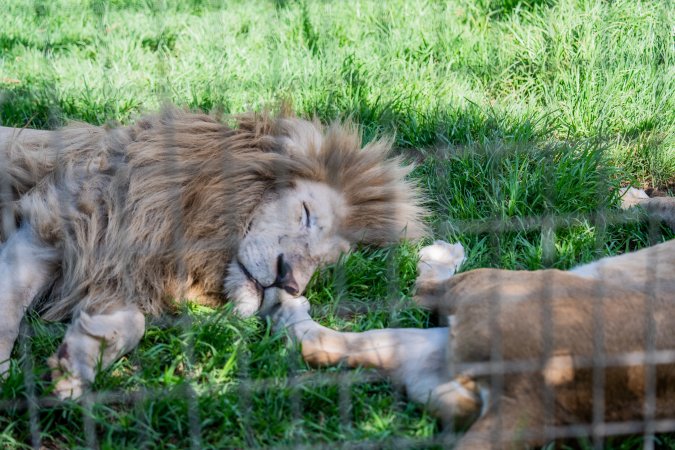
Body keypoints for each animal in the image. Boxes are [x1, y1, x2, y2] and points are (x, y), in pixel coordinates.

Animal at [0, 109, 426, 398]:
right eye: (305, 213)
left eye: (324, 264)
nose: (289, 282)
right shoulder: (44, 231)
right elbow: (8, 311)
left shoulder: (118, 271)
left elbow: (132, 322)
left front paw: (76, 365)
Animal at [272, 192, 675, 449]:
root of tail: (541, 396)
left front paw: (634, 198)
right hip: (429, 360)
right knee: (323, 345)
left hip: (494, 286)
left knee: (421, 292)